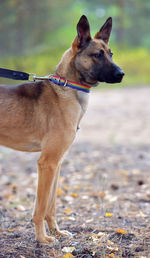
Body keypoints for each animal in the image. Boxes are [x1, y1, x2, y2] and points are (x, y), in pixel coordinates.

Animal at [0, 15, 124, 244]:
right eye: (97, 55)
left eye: (111, 54)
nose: (122, 74)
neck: (67, 88)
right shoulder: (46, 163)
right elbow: (40, 208)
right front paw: (42, 239)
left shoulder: (56, 163)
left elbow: (51, 206)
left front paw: (56, 232)